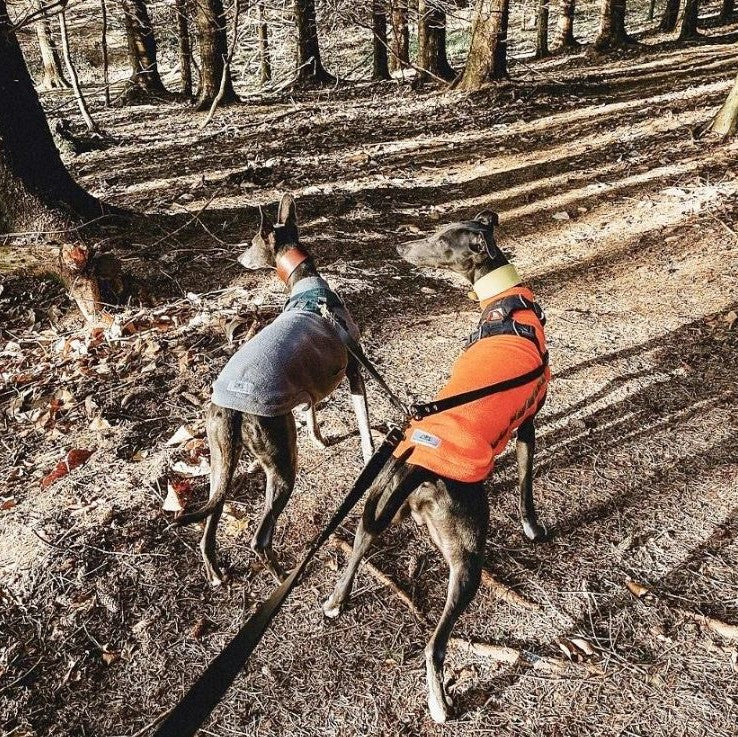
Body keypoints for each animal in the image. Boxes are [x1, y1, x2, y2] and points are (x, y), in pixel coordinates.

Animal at [176, 193, 374, 584]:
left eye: (251, 243)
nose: (239, 258)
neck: (306, 284)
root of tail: (232, 406)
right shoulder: (354, 369)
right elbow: (363, 424)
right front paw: (370, 453)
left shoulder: (305, 387)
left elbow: (311, 412)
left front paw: (319, 439)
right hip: (281, 462)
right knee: (259, 537)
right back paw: (284, 578)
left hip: (221, 458)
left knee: (210, 521)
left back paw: (216, 571)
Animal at [322, 210, 548, 720]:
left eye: (442, 239)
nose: (401, 248)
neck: (506, 307)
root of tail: (418, 469)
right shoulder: (527, 425)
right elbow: (527, 485)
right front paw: (531, 526)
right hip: (467, 558)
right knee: (435, 644)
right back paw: (440, 702)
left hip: (376, 503)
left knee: (359, 546)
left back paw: (336, 601)